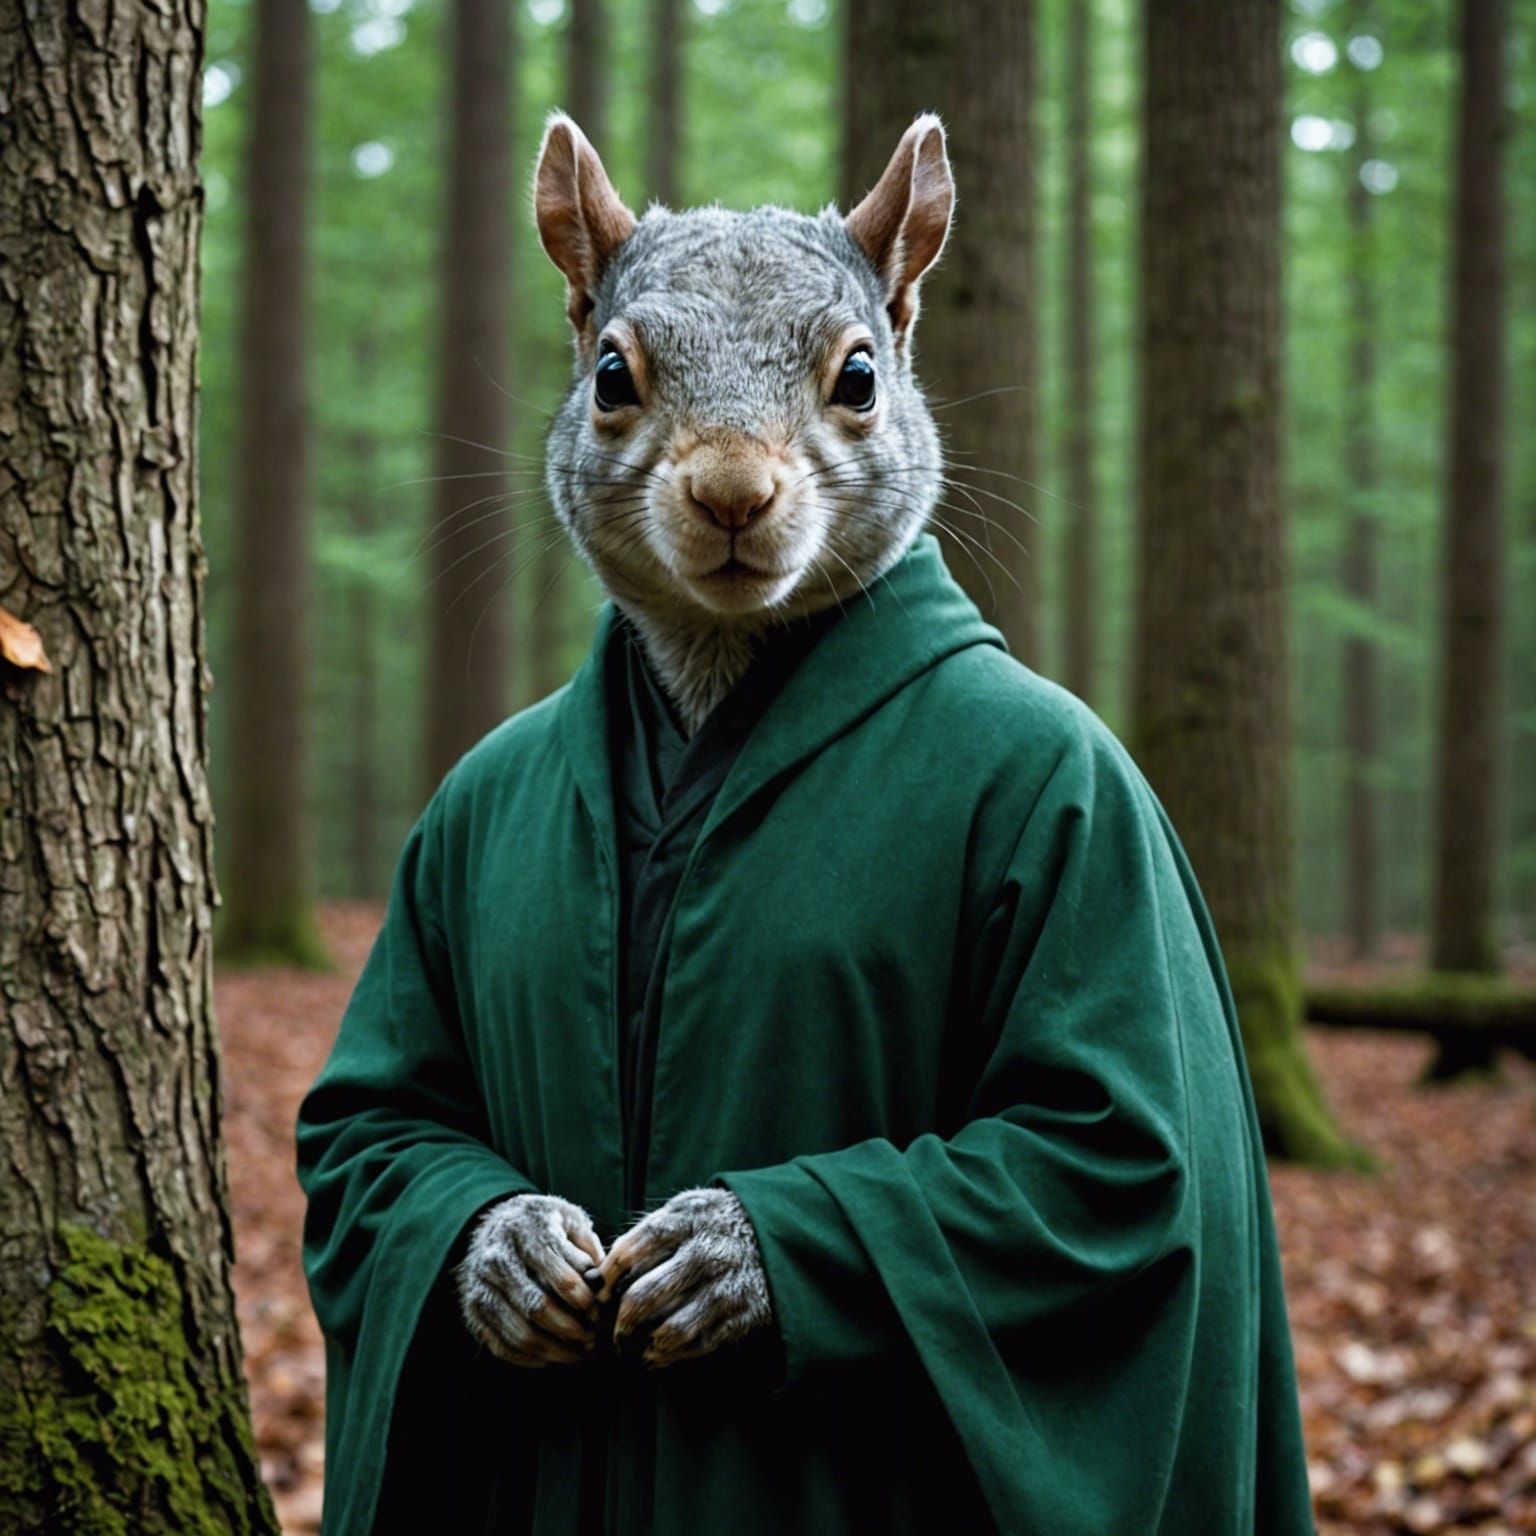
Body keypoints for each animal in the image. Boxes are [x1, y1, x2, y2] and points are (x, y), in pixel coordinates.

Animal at [456, 111, 956, 1371]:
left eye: (861, 376)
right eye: (610, 373)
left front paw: (723, 1257)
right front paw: (510, 1251)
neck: (718, 659)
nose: (733, 492)